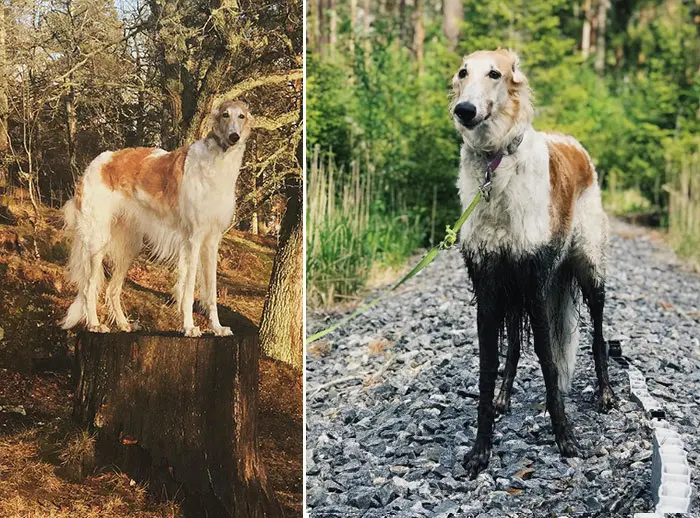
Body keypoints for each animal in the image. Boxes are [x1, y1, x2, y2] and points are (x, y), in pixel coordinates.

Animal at [60, 100, 252, 338]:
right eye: (225, 115)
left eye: (241, 116)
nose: (234, 137)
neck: (217, 162)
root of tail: (95, 163)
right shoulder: (193, 239)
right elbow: (188, 289)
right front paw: (189, 326)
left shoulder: (212, 240)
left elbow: (211, 292)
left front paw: (217, 327)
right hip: (98, 240)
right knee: (89, 287)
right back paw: (95, 324)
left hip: (130, 246)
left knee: (112, 289)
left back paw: (124, 324)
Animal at [452, 51, 616, 480]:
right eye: (462, 73)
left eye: (495, 73)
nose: (464, 110)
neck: (496, 165)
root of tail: (573, 143)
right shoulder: (489, 288)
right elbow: (489, 365)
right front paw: (480, 448)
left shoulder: (537, 284)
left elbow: (548, 361)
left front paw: (565, 438)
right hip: (513, 292)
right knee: (512, 348)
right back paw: (504, 396)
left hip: (589, 270)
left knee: (597, 336)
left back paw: (605, 392)